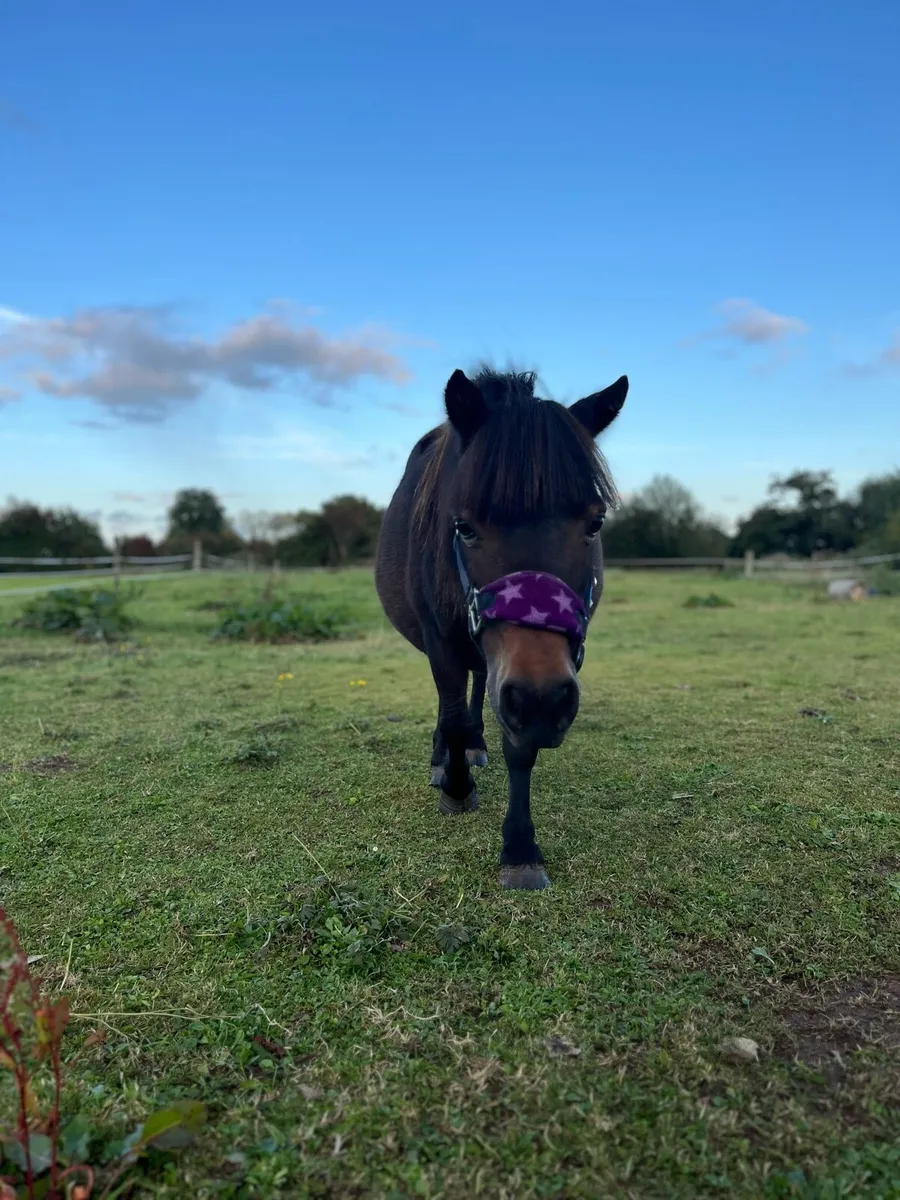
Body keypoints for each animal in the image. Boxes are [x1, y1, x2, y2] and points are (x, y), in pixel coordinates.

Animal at [375, 366, 628, 889]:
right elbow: (451, 714)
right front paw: (455, 787)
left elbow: (518, 748)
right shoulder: (441, 642)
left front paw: (519, 848)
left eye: (594, 524)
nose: (539, 701)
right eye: (465, 527)